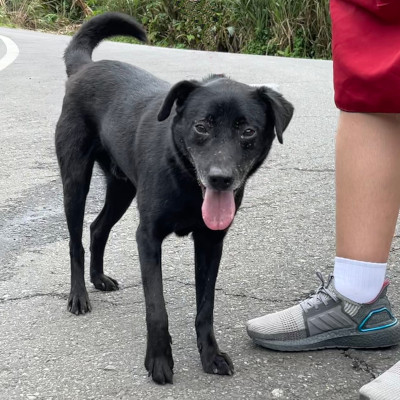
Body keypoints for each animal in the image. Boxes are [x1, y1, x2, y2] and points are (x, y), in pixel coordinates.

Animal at [55, 12, 294, 384]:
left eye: (248, 131)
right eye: (201, 126)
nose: (220, 178)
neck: (187, 181)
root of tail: (85, 67)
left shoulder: (210, 242)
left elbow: (206, 306)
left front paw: (210, 355)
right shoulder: (148, 237)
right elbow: (157, 307)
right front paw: (158, 361)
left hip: (122, 189)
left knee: (97, 228)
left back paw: (98, 278)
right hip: (75, 180)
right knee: (76, 240)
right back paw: (79, 295)